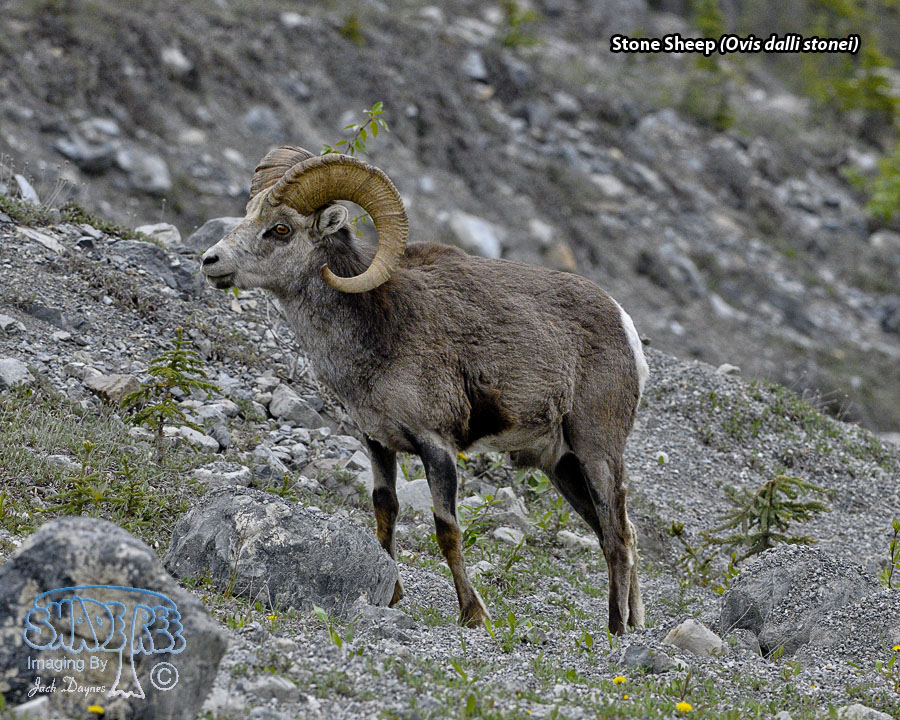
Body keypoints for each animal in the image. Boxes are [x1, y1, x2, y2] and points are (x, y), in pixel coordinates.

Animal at [201, 145, 649, 634]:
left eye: (281, 229)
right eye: (249, 213)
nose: (210, 261)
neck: (380, 329)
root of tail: (624, 325)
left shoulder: (437, 446)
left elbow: (446, 530)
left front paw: (473, 613)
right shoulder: (378, 441)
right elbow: (385, 511)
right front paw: (391, 595)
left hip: (596, 453)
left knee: (616, 537)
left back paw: (617, 629)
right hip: (562, 465)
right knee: (619, 532)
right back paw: (634, 622)